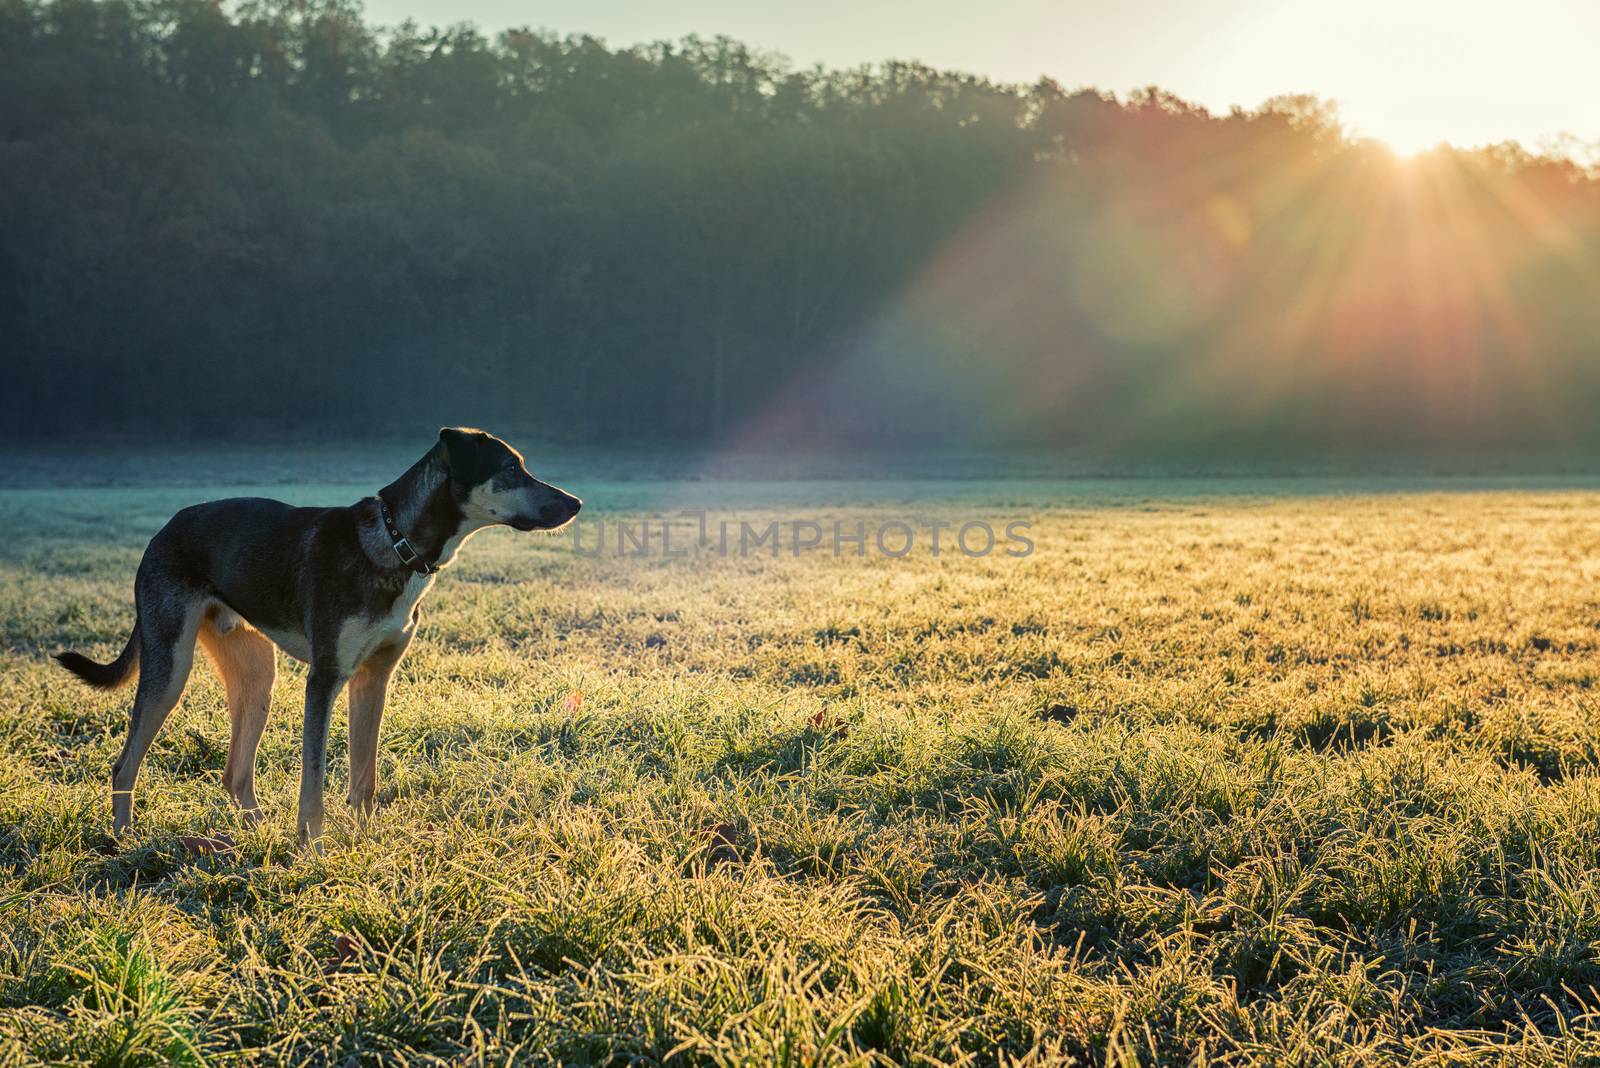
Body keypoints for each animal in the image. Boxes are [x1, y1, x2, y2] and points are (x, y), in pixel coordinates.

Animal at [54, 425, 582, 844]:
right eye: (512, 469)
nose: (576, 503)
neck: (397, 543)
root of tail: (164, 529)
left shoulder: (374, 679)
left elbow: (364, 774)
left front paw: (365, 839)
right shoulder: (325, 680)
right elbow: (314, 778)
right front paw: (312, 847)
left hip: (257, 678)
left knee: (235, 774)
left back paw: (257, 831)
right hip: (169, 668)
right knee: (125, 764)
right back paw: (125, 841)